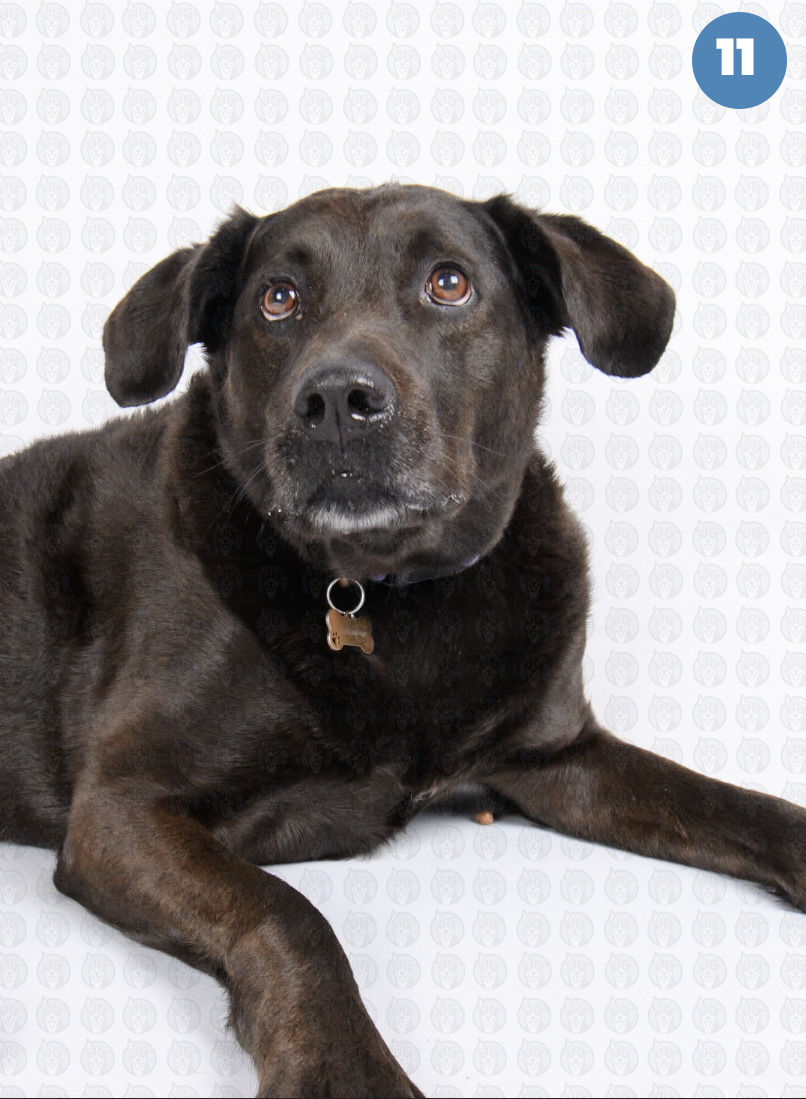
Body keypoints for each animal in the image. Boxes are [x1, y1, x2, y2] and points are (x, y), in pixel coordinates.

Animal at [0, 184, 803, 1097]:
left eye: (448, 283)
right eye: (278, 298)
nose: (336, 402)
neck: (384, 587)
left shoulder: (561, 758)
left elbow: (738, 804)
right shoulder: (122, 807)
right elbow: (288, 913)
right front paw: (342, 1066)